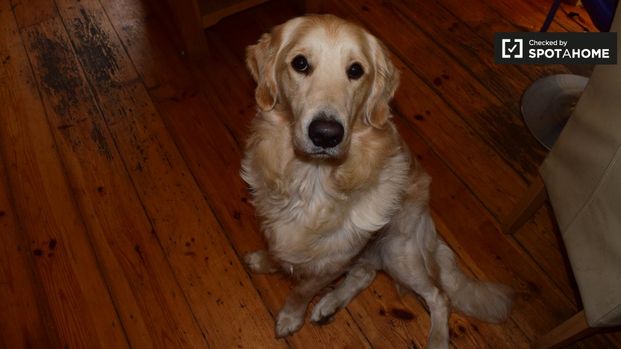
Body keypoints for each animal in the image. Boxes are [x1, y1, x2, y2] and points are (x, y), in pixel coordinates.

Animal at [240, 14, 512, 346]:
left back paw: (437, 339)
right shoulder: (276, 226)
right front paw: (265, 261)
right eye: (300, 63)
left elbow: (302, 290)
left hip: (398, 249)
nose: (326, 134)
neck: (312, 178)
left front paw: (291, 317)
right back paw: (329, 304)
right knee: (365, 273)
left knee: (439, 296)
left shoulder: (335, 259)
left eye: (356, 70)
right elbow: (279, 253)